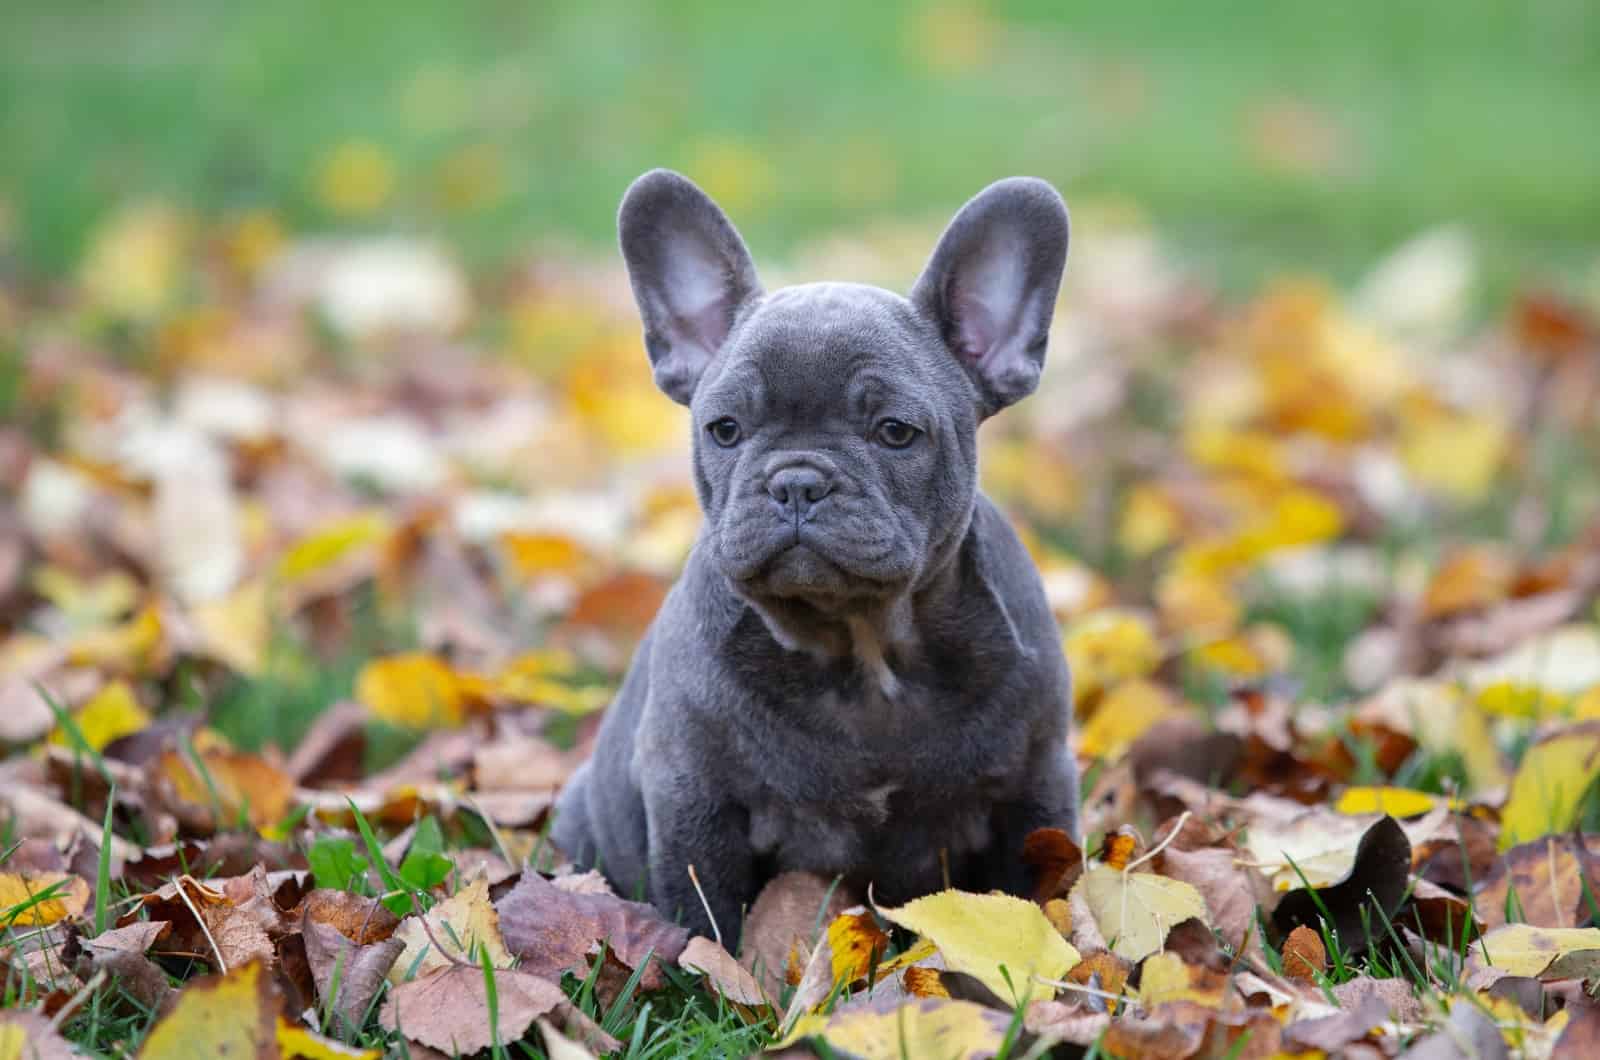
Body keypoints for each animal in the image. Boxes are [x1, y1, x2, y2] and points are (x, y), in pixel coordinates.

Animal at [550, 170, 1075, 941]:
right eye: (725, 429)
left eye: (895, 431)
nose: (797, 480)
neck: (861, 646)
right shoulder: (694, 800)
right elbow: (707, 916)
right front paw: (705, 969)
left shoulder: (1033, 784)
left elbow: (1037, 890)